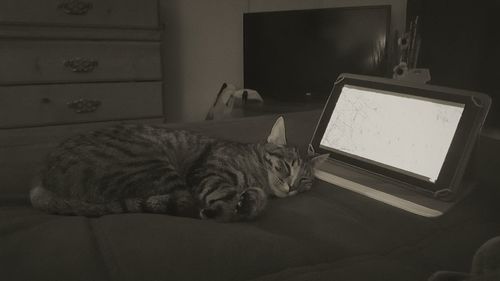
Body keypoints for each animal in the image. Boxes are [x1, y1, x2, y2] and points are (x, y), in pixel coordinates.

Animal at [30, 116, 328, 221]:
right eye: (285, 166)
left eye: (304, 180)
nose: (292, 186)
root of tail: (43, 180)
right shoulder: (209, 172)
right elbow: (227, 195)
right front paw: (236, 206)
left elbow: (257, 198)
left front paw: (250, 202)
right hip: (152, 163)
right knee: (187, 202)